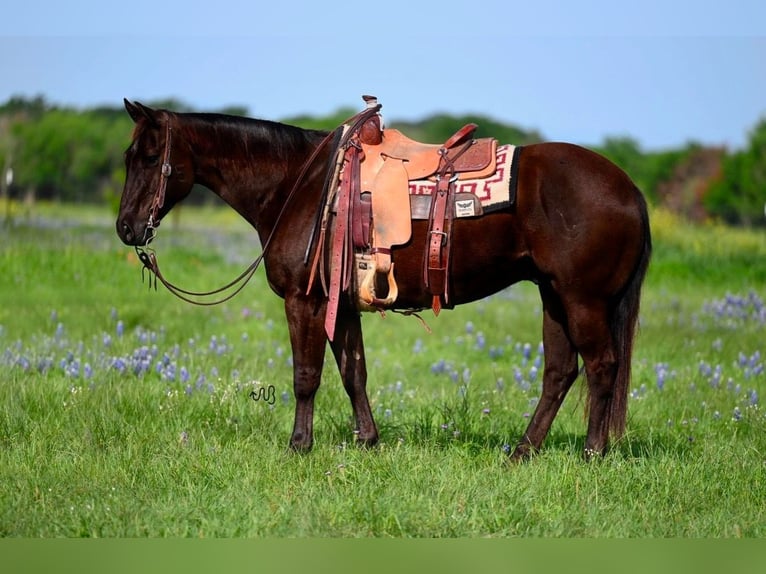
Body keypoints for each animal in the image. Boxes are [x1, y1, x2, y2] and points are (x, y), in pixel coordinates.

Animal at [115, 98, 656, 460]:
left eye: (149, 158)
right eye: (127, 156)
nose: (125, 228)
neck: (300, 185)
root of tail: (631, 189)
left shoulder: (304, 301)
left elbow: (306, 376)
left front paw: (298, 446)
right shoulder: (341, 304)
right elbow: (353, 371)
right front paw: (368, 442)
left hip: (583, 299)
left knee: (602, 366)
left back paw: (592, 453)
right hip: (553, 296)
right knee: (560, 372)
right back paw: (522, 452)